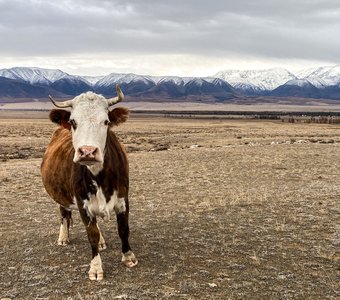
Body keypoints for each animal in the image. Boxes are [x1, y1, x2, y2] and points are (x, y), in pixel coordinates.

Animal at [41, 86, 138, 282]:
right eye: (73, 121)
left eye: (106, 121)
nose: (87, 152)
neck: (100, 178)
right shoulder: (82, 204)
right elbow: (91, 234)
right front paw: (95, 268)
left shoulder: (123, 199)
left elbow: (123, 229)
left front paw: (129, 257)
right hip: (61, 195)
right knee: (64, 213)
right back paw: (63, 237)